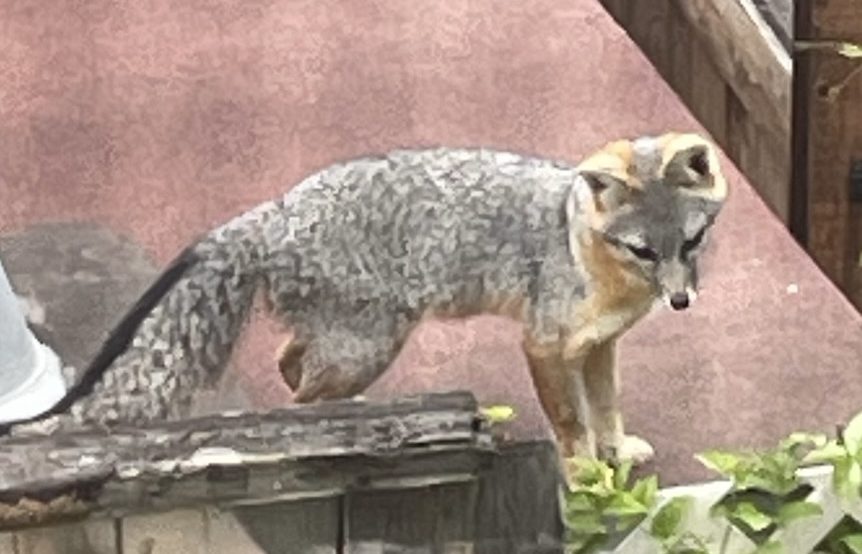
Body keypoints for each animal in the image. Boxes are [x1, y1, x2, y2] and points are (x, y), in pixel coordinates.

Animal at [0, 132, 727, 469]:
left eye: (691, 242)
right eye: (643, 250)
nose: (680, 301)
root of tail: (270, 212)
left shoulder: (599, 345)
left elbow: (606, 407)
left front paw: (617, 450)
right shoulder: (544, 345)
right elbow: (572, 423)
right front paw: (584, 477)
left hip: (352, 342)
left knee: (291, 363)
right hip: (371, 345)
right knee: (297, 404)